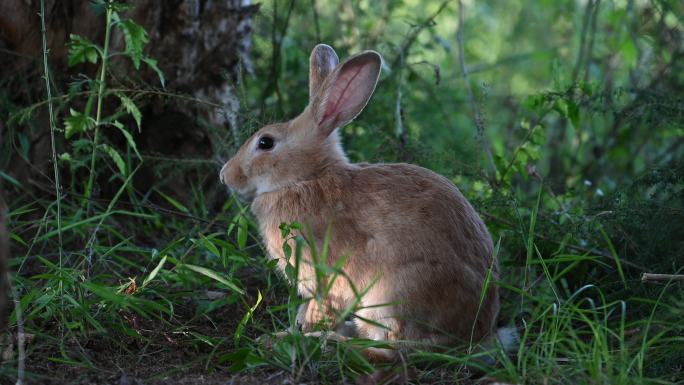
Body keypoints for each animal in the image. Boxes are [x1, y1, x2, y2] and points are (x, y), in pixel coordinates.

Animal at [222, 44, 500, 360]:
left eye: (265, 143)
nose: (225, 176)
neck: (307, 179)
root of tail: (476, 333)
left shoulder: (327, 278)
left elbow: (320, 310)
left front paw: (298, 333)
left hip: (392, 296)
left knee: (390, 349)